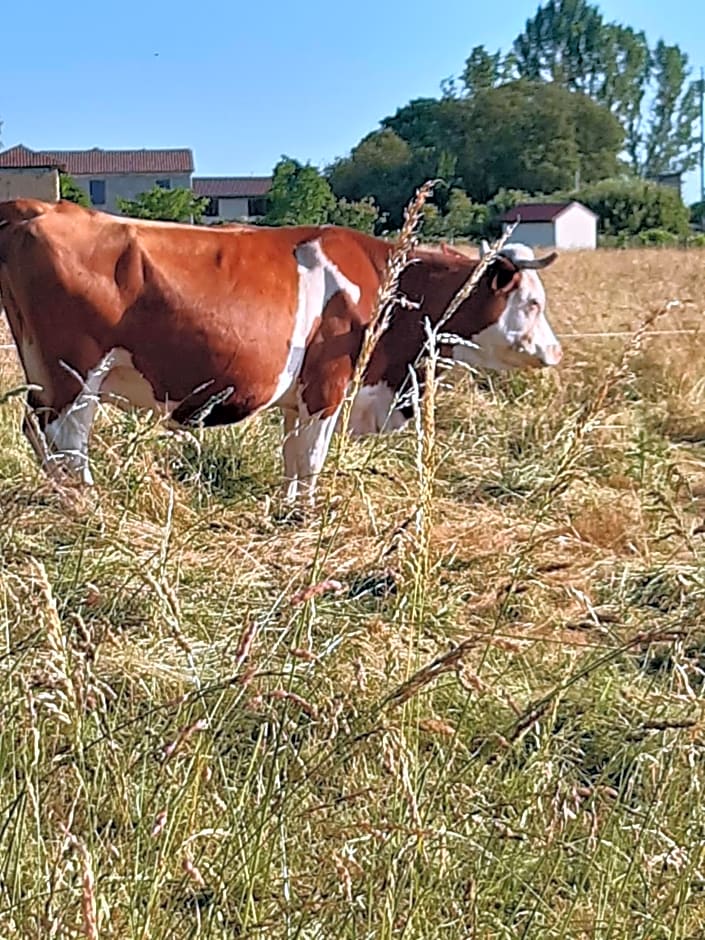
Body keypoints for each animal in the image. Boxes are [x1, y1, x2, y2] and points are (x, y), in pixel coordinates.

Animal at [0, 199, 560, 504]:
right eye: (532, 302)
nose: (554, 353)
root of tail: (41, 208)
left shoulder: (300, 396)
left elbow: (291, 455)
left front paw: (288, 508)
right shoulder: (329, 385)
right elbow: (311, 458)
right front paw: (308, 515)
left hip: (46, 376)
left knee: (38, 434)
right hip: (76, 378)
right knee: (68, 444)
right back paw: (87, 505)